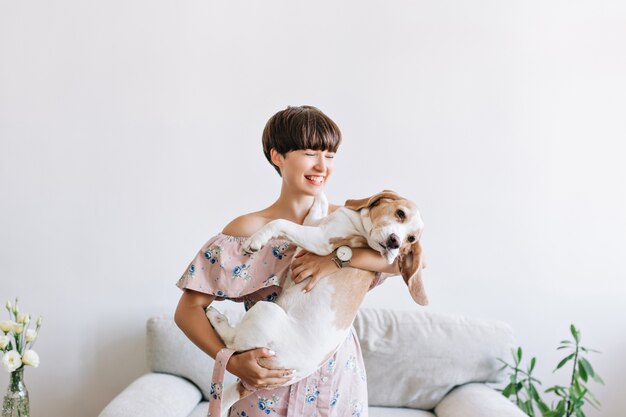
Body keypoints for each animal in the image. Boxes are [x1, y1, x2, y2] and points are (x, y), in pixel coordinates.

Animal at [205, 189, 424, 416]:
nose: (395, 243)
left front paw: (256, 240)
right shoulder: (313, 225)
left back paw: (216, 317)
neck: (361, 228)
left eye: (411, 238)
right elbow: (315, 210)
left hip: (265, 311)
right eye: (400, 213)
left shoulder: (320, 240)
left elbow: (281, 222)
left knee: (230, 342)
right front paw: (319, 194)